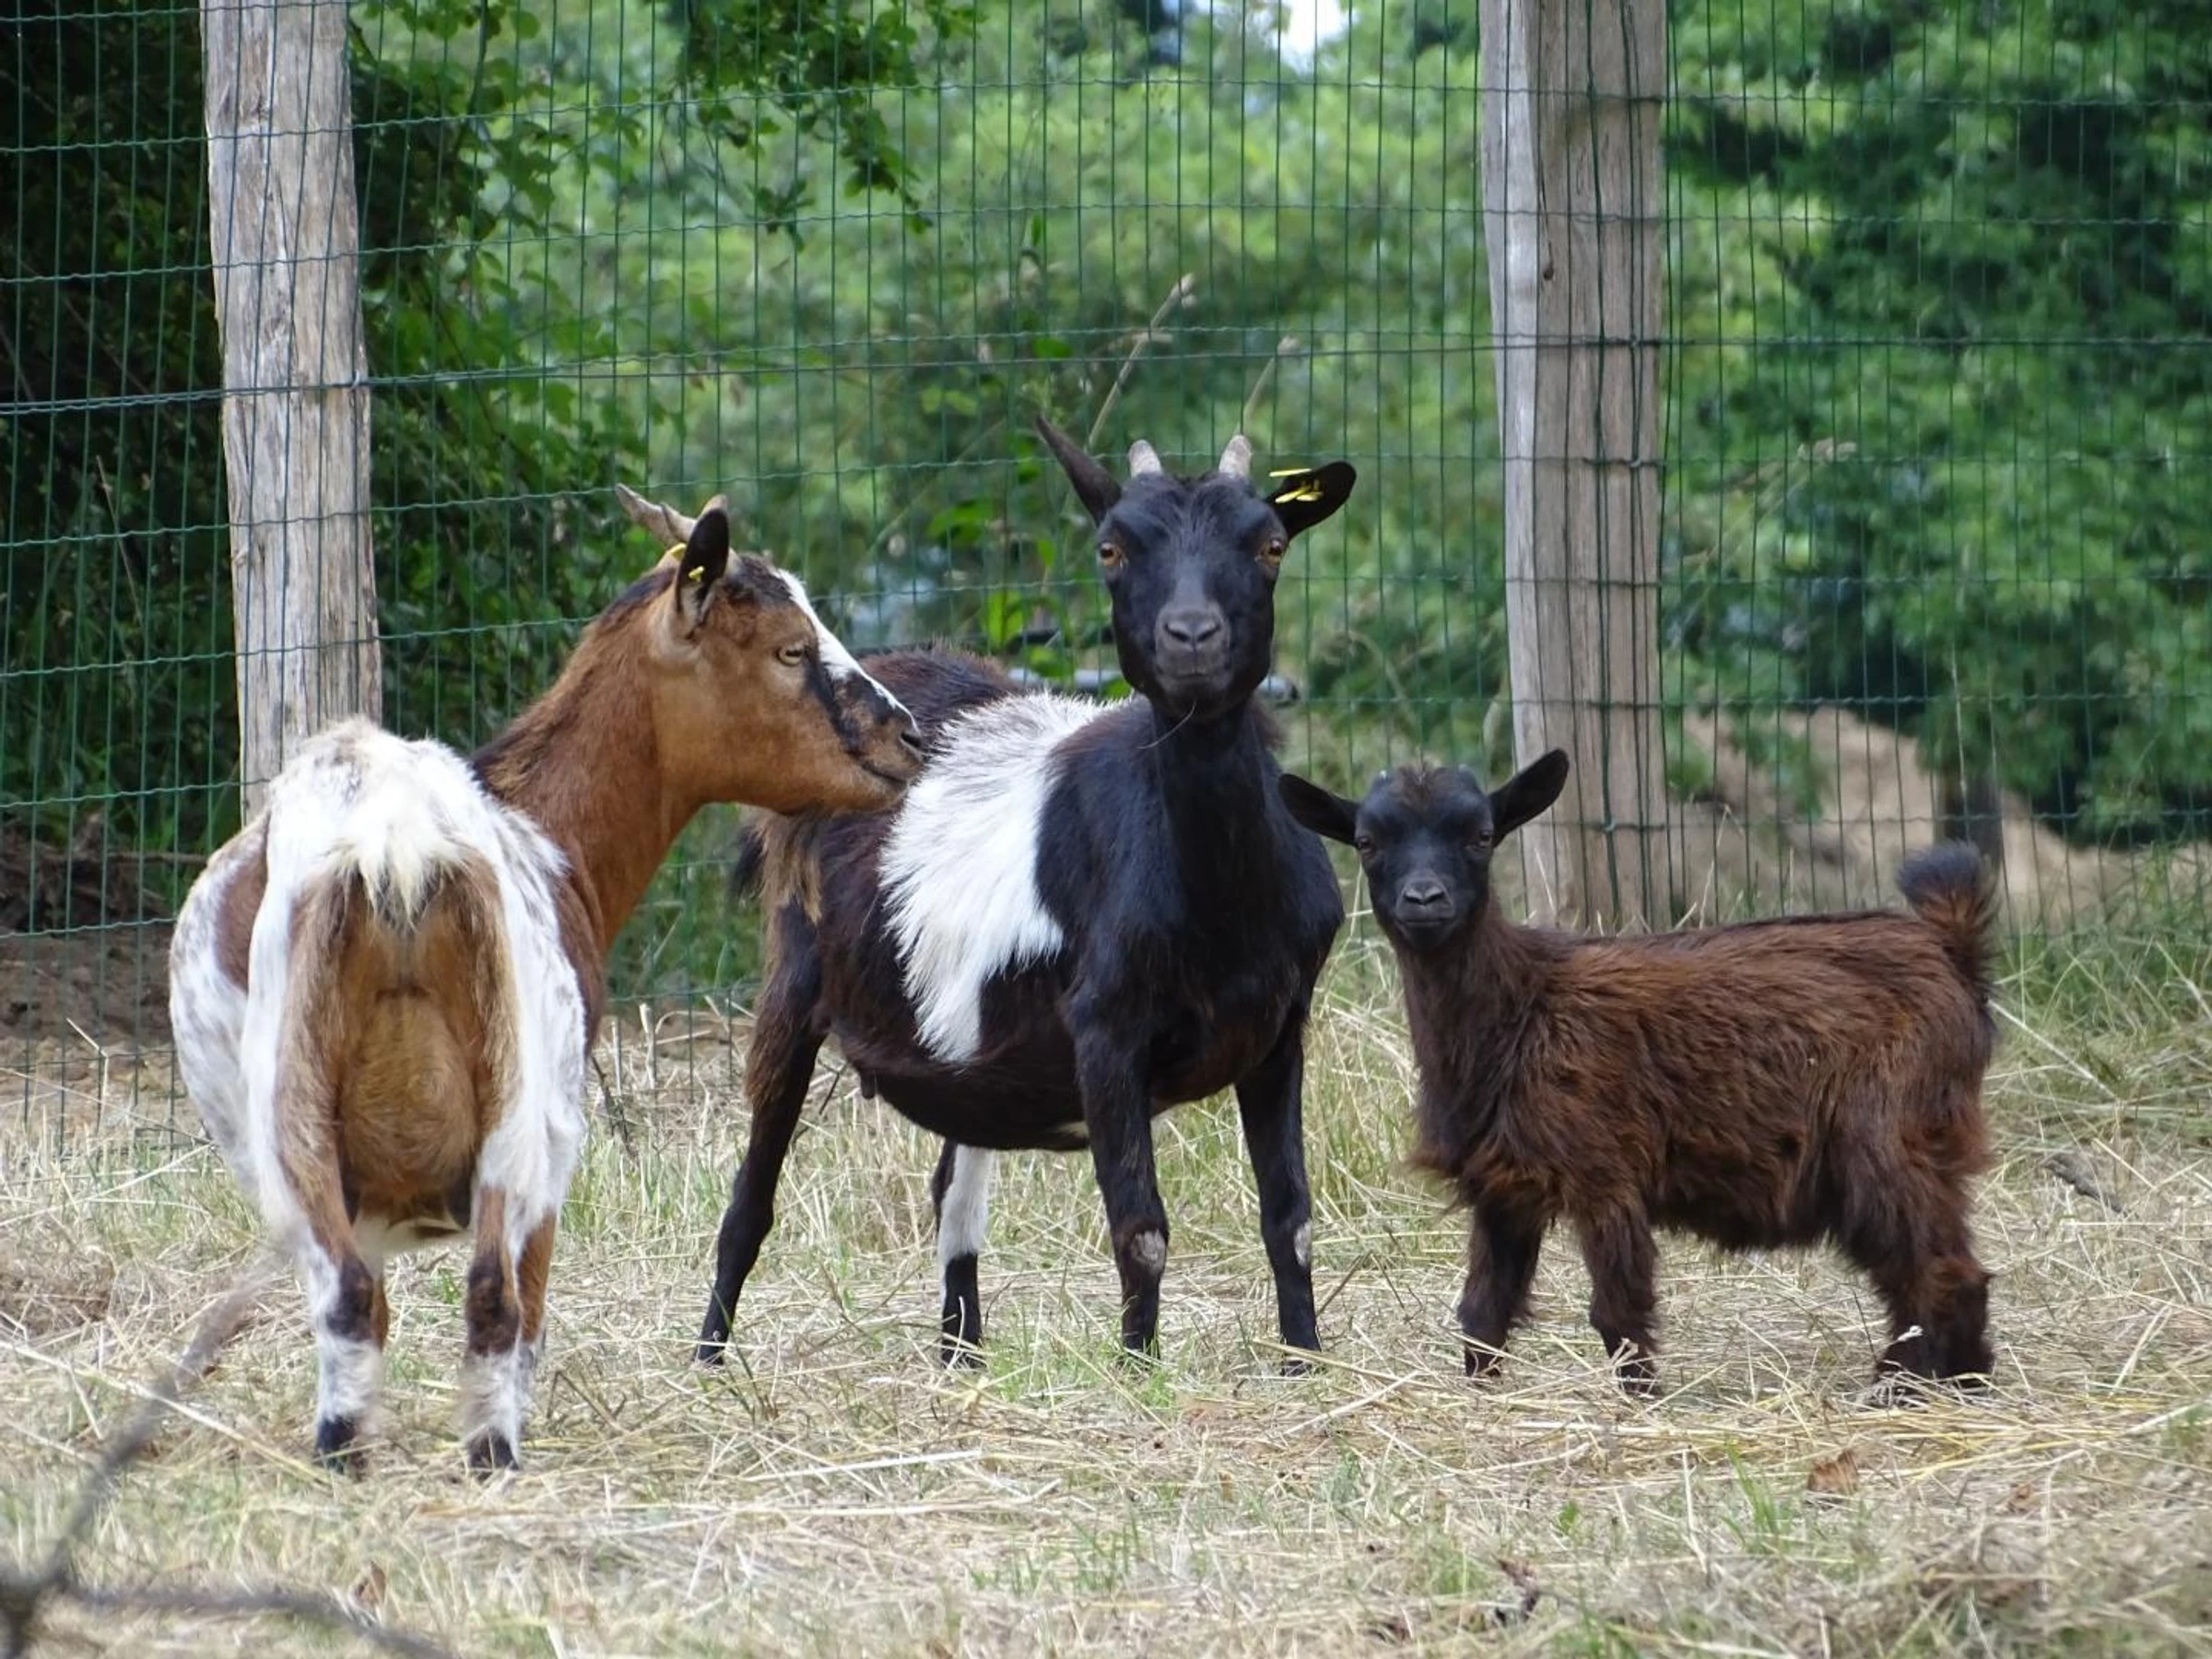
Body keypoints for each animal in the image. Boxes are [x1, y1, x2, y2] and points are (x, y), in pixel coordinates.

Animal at [168, 489, 922, 1470]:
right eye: (793, 649)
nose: (909, 737)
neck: (545, 823)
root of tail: (394, 848)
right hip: (528, 1117)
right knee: (495, 1300)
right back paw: (494, 1456)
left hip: (292, 1128)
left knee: (349, 1298)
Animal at [696, 419, 1357, 1367]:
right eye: (1112, 548)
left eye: (1271, 545)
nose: (1191, 636)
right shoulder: (1105, 1032)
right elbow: (1141, 1231)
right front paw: (1140, 1373)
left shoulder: (1280, 1027)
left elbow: (1290, 1220)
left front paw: (1305, 1364)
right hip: (794, 973)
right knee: (751, 1198)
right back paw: (710, 1360)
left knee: (953, 1189)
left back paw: (959, 1354)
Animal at [1279, 754, 2000, 1394]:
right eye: (1368, 842)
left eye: (1481, 836)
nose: (1425, 899)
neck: (1521, 1009)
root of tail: (1950, 950)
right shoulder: (1502, 1188)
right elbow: (1483, 1314)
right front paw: (1478, 1398)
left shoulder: (1604, 1173)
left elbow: (1618, 1313)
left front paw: (1641, 1402)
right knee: (1934, 1270)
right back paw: (1958, 1382)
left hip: (1888, 1138)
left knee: (1940, 1270)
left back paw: (1906, 1388)